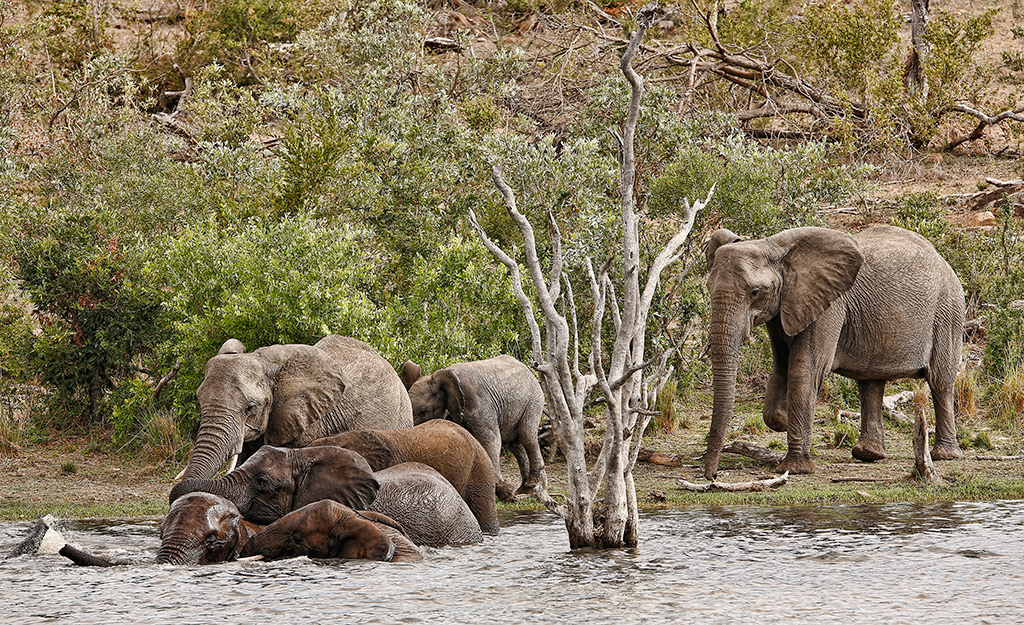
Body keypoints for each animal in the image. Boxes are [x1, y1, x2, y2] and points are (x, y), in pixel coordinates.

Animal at [402, 355, 546, 501]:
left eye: (423, 411)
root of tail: (529, 370)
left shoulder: (478, 403)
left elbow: (491, 441)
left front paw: (505, 494)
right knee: (514, 444)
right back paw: (523, 490)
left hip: (534, 401)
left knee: (526, 436)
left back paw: (530, 485)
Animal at [703, 225, 965, 478]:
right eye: (708, 288)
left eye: (756, 291)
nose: (712, 475)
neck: (774, 248)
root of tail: (945, 262)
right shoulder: (783, 309)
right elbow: (781, 367)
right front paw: (786, 420)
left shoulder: (829, 306)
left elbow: (804, 369)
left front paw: (796, 468)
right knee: (870, 382)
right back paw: (868, 453)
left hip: (947, 313)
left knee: (940, 381)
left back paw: (944, 455)